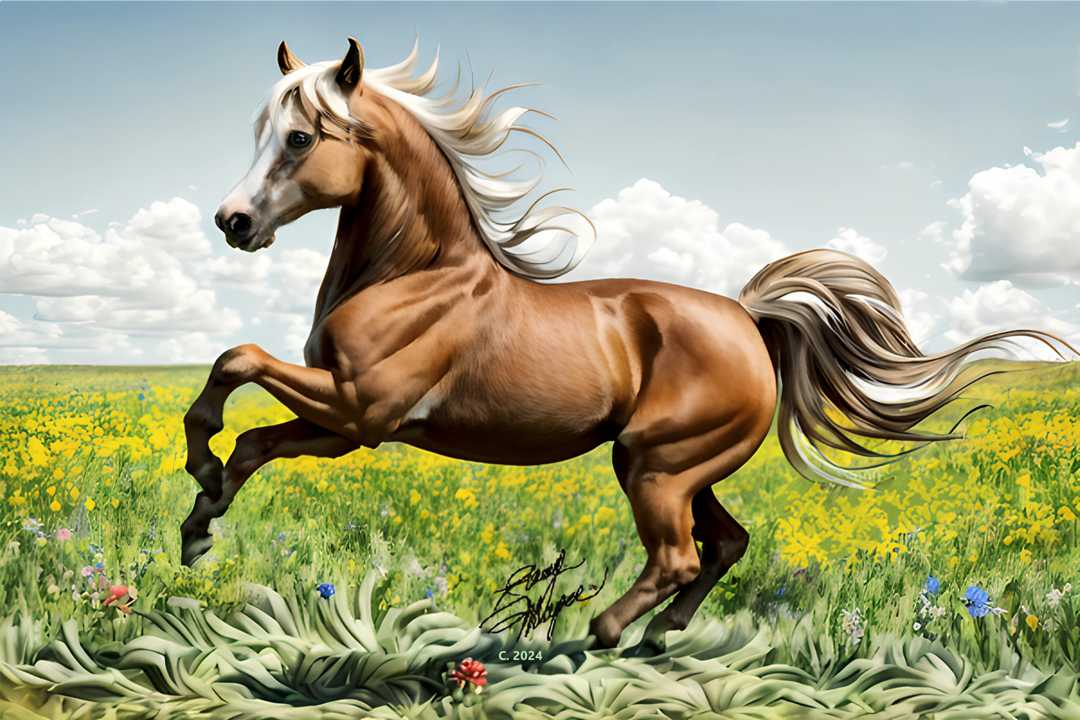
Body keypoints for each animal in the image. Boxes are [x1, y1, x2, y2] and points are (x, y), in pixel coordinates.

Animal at [181, 37, 1070, 653]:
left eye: (301, 138)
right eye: (264, 131)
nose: (232, 223)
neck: (417, 274)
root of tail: (748, 319)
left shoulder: (362, 408)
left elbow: (237, 361)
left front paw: (200, 476)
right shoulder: (346, 426)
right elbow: (254, 439)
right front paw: (201, 519)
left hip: (657, 464)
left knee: (681, 556)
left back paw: (603, 634)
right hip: (672, 466)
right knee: (726, 543)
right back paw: (658, 634)